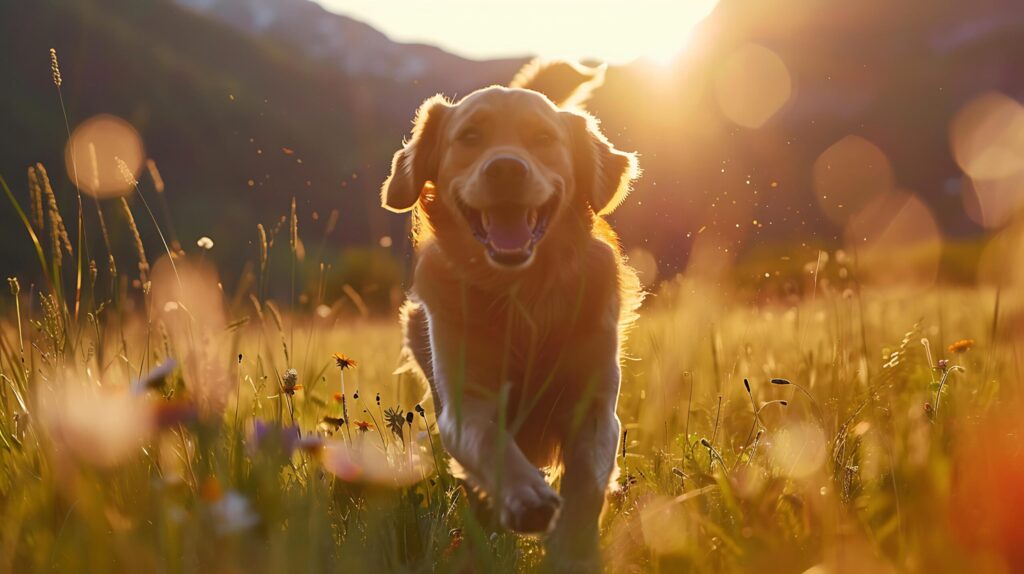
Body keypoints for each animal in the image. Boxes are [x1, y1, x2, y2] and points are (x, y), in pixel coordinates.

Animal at [380, 59, 643, 568]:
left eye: (543, 138)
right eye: (469, 137)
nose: (505, 168)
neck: (524, 297)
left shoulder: (595, 405)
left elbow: (586, 484)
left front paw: (573, 547)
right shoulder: (465, 402)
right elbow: (491, 442)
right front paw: (527, 497)